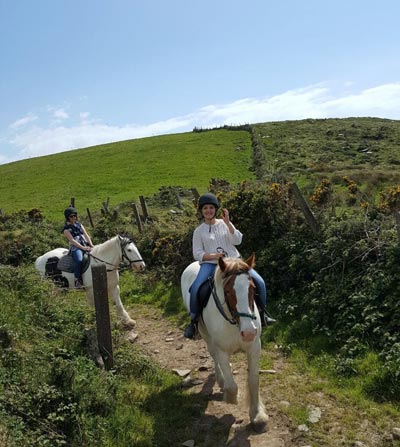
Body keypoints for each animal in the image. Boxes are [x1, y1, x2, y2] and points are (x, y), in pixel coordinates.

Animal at [181, 254, 268, 432]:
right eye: (227, 291)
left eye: (252, 288)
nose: (249, 332)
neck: (235, 322)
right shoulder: (221, 349)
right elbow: (232, 385)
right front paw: (232, 398)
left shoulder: (254, 348)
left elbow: (254, 381)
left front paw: (257, 415)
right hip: (206, 335)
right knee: (213, 356)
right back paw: (221, 380)